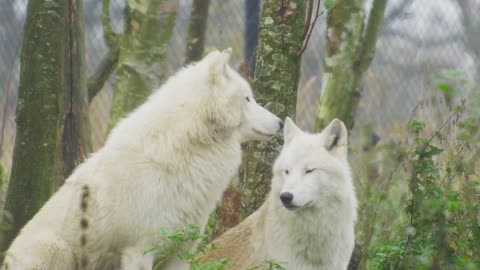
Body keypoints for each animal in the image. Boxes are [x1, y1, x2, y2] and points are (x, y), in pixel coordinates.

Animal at [1, 49, 284, 270]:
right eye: (247, 99)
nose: (281, 122)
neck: (187, 150)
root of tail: (6, 259)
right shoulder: (138, 252)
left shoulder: (180, 252)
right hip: (56, 251)